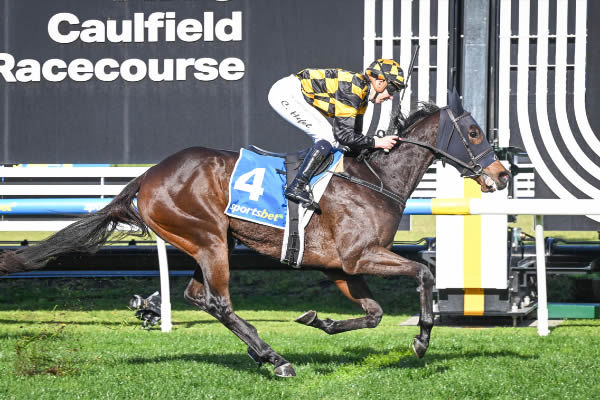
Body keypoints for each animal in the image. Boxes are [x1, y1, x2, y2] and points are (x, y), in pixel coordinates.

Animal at [0, 91, 510, 378]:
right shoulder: (360, 256)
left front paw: (321, 321)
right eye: (473, 132)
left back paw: (247, 346)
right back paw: (274, 358)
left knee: (198, 296)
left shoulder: (340, 267)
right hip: (207, 239)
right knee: (219, 302)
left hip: (211, 241)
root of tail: (146, 176)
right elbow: (424, 272)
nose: (503, 175)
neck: (375, 179)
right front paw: (422, 340)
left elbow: (374, 314)